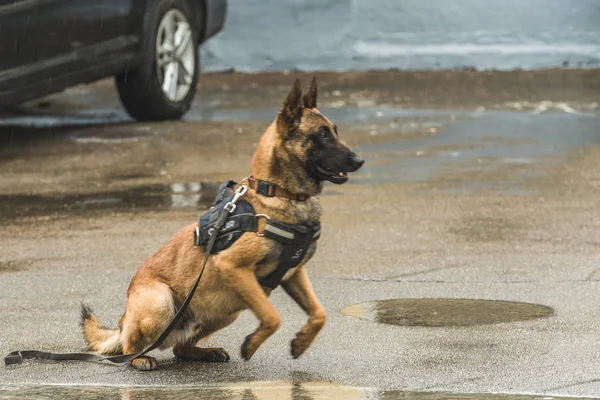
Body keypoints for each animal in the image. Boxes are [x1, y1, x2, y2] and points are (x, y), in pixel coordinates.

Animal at [81, 78, 364, 372]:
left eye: (334, 131)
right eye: (323, 134)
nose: (359, 161)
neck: (277, 193)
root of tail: (124, 321)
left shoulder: (294, 274)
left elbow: (320, 313)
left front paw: (302, 341)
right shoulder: (234, 267)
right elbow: (272, 316)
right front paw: (252, 344)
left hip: (225, 312)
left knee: (181, 348)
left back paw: (206, 352)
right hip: (161, 302)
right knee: (130, 347)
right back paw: (139, 358)